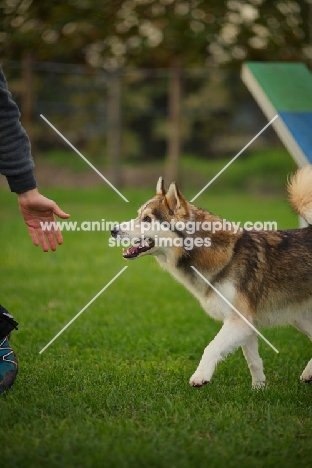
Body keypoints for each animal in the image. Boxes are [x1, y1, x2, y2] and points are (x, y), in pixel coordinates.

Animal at [111, 166, 312, 390]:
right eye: (138, 216)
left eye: (147, 219)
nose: (113, 230)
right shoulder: (246, 324)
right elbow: (253, 361)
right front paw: (259, 389)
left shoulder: (238, 321)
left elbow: (211, 347)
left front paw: (200, 376)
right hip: (299, 316)